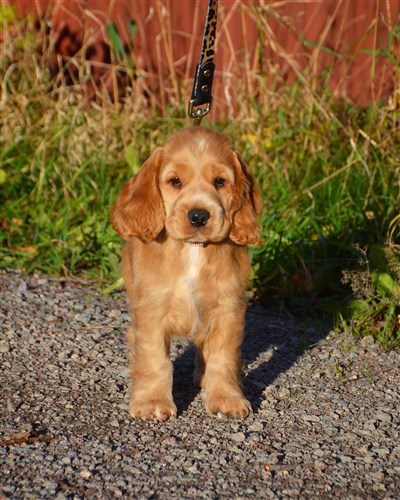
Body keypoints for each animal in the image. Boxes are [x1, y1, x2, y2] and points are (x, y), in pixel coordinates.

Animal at [111, 126, 262, 420]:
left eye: (219, 181)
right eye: (175, 181)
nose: (199, 216)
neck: (192, 250)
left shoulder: (228, 308)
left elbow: (224, 357)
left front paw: (226, 398)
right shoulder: (151, 310)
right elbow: (154, 359)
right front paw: (152, 402)